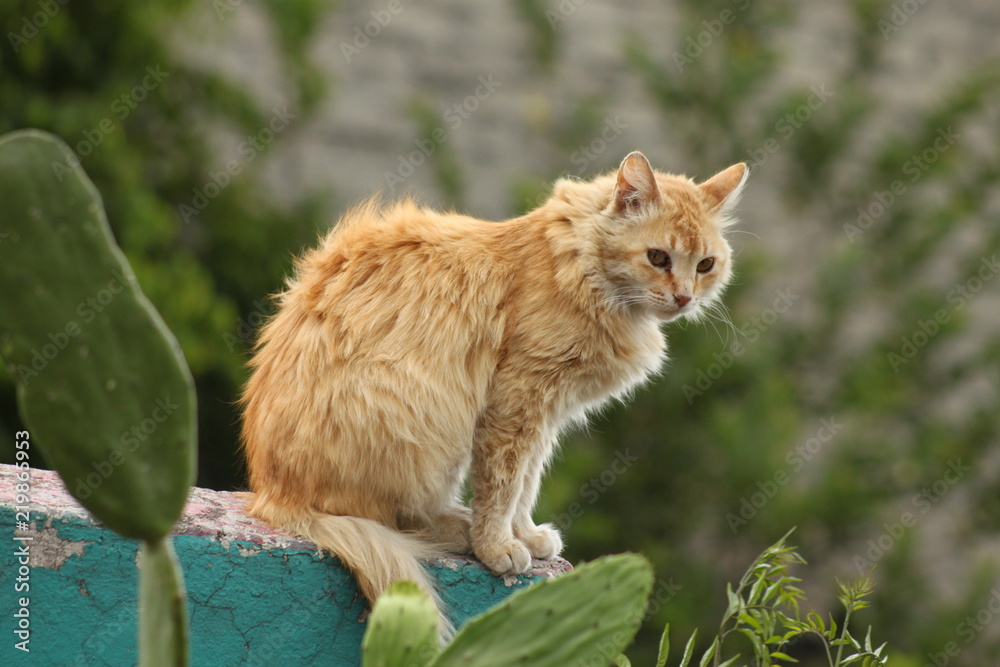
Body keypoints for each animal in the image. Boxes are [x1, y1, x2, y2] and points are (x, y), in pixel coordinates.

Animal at [239, 151, 748, 630]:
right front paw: (497, 546)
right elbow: (503, 485)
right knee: (387, 516)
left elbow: (526, 483)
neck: (581, 267)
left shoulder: (544, 414)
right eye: (658, 257)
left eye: (705, 265)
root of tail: (272, 494)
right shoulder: (518, 400)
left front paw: (525, 535)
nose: (684, 298)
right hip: (421, 421)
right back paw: (460, 528)